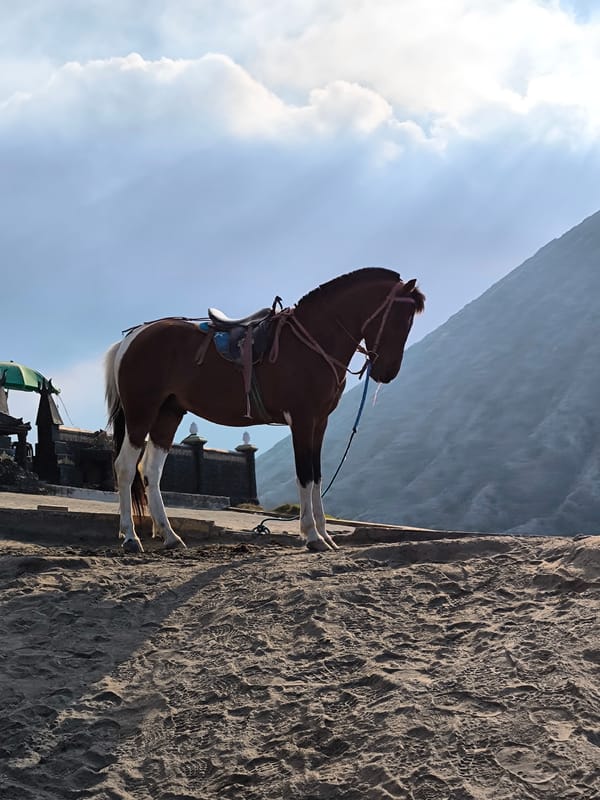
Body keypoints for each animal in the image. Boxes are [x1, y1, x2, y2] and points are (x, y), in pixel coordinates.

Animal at [104, 267, 425, 552]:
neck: (313, 340)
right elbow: (305, 474)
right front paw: (312, 536)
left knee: (151, 472)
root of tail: (132, 337)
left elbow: (317, 476)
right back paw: (130, 537)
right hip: (141, 411)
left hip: (168, 414)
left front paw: (325, 535)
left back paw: (169, 535)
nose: (387, 373)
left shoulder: (319, 422)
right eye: (401, 318)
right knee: (125, 468)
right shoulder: (302, 420)